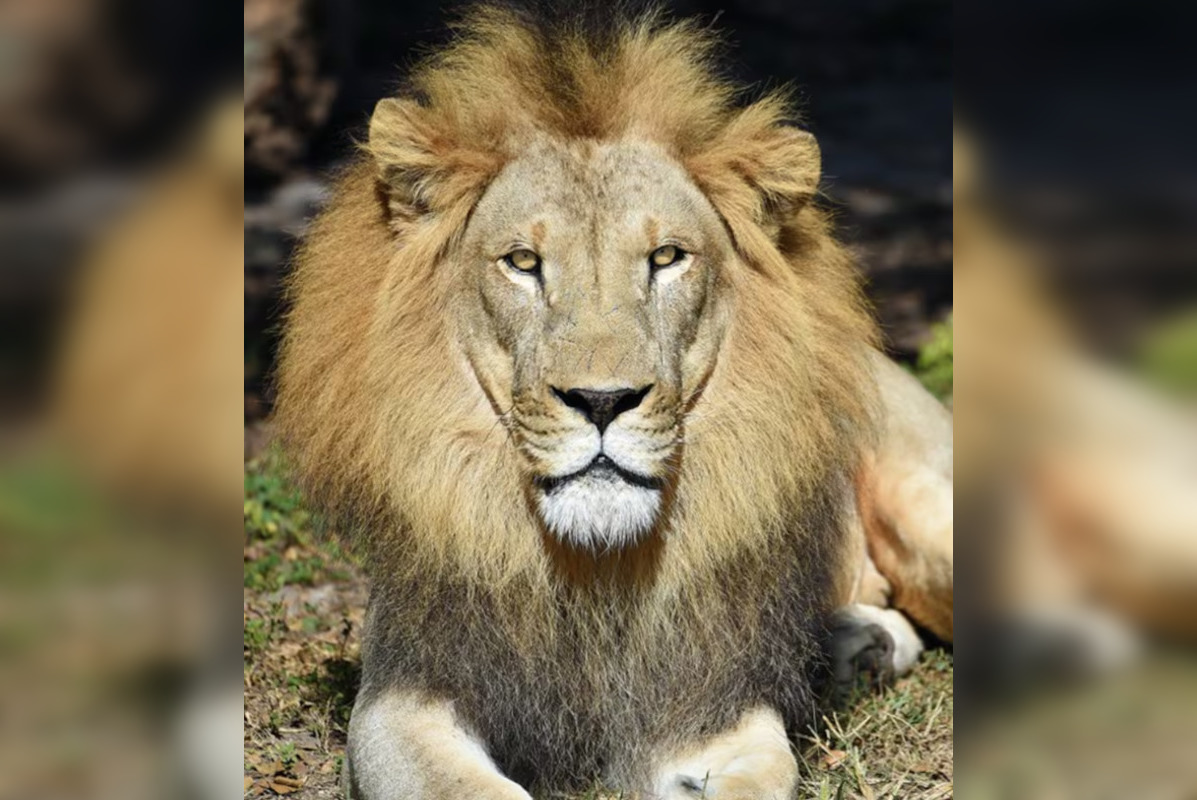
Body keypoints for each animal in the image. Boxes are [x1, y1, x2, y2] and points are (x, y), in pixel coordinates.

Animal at [274, 8, 953, 799]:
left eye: (666, 258)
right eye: (522, 262)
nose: (602, 401)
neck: (596, 569)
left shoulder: (713, 714)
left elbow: (762, 774)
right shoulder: (401, 698)